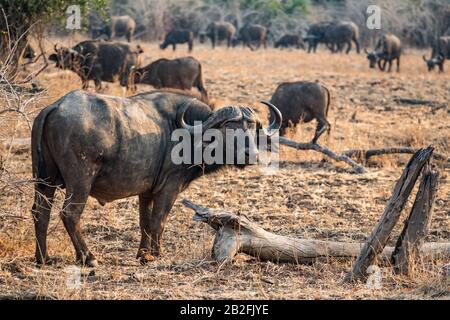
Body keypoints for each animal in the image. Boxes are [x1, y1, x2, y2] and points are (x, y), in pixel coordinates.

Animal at [31, 89, 282, 266]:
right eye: (229, 129)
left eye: (252, 128)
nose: (251, 155)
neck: (187, 135)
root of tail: (55, 106)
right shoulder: (169, 187)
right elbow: (159, 220)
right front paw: (154, 254)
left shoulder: (146, 191)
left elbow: (145, 221)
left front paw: (143, 253)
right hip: (80, 180)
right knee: (70, 214)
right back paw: (88, 257)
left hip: (44, 180)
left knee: (40, 213)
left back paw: (43, 258)